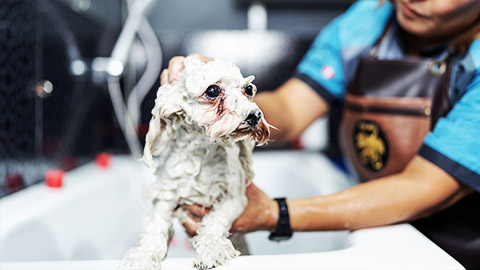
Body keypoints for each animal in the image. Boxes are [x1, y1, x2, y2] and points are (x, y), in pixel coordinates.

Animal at [119, 56, 270, 268]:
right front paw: (141, 257)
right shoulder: (165, 198)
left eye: (248, 89)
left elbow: (216, 221)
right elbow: (155, 230)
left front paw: (211, 248)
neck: (201, 152)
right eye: (212, 90)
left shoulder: (234, 198)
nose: (255, 116)